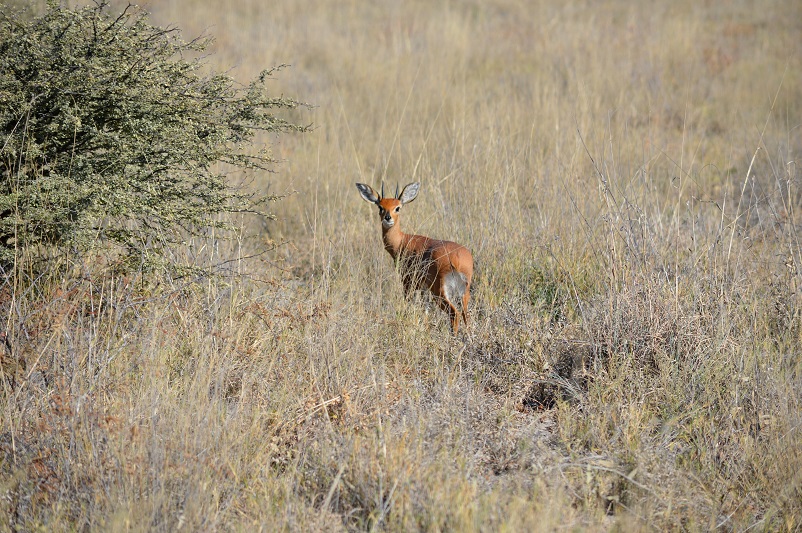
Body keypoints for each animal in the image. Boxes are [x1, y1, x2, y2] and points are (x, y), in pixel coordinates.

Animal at [354, 183, 472, 332]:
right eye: (380, 206)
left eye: (397, 207)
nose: (388, 218)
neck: (402, 241)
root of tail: (457, 259)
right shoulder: (423, 288)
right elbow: (425, 310)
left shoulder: (408, 282)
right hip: (463, 291)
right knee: (465, 315)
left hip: (440, 291)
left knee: (454, 313)